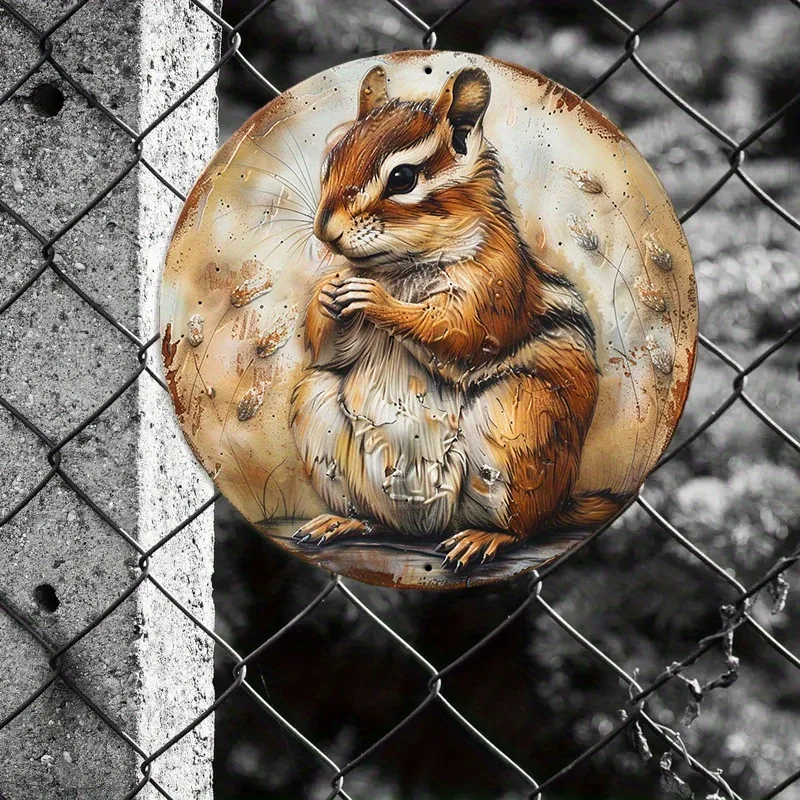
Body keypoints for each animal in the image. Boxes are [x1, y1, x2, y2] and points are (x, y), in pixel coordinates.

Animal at [289, 64, 625, 571]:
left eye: (402, 178)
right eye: (331, 160)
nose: (324, 231)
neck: (401, 267)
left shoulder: (495, 284)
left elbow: (459, 332)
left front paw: (375, 300)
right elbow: (328, 349)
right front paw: (328, 293)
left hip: (519, 415)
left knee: (525, 527)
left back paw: (485, 538)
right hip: (317, 406)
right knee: (376, 518)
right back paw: (341, 522)